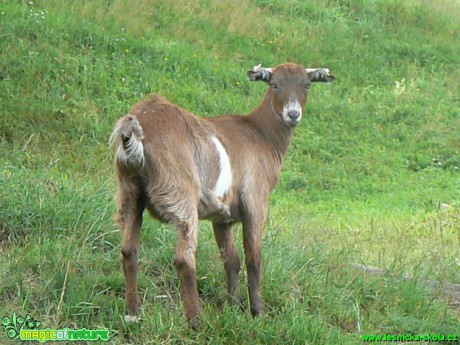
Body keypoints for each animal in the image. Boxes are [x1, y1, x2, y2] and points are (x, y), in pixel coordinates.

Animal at [109, 62, 336, 328]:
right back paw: (196, 322)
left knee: (129, 250)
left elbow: (232, 260)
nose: (293, 114)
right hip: (179, 193)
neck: (262, 135)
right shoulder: (255, 201)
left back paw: (133, 312)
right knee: (184, 258)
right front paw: (257, 312)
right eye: (274, 84)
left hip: (130, 190)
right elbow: (254, 258)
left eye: (307, 84)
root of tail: (136, 128)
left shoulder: (222, 215)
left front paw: (233, 305)